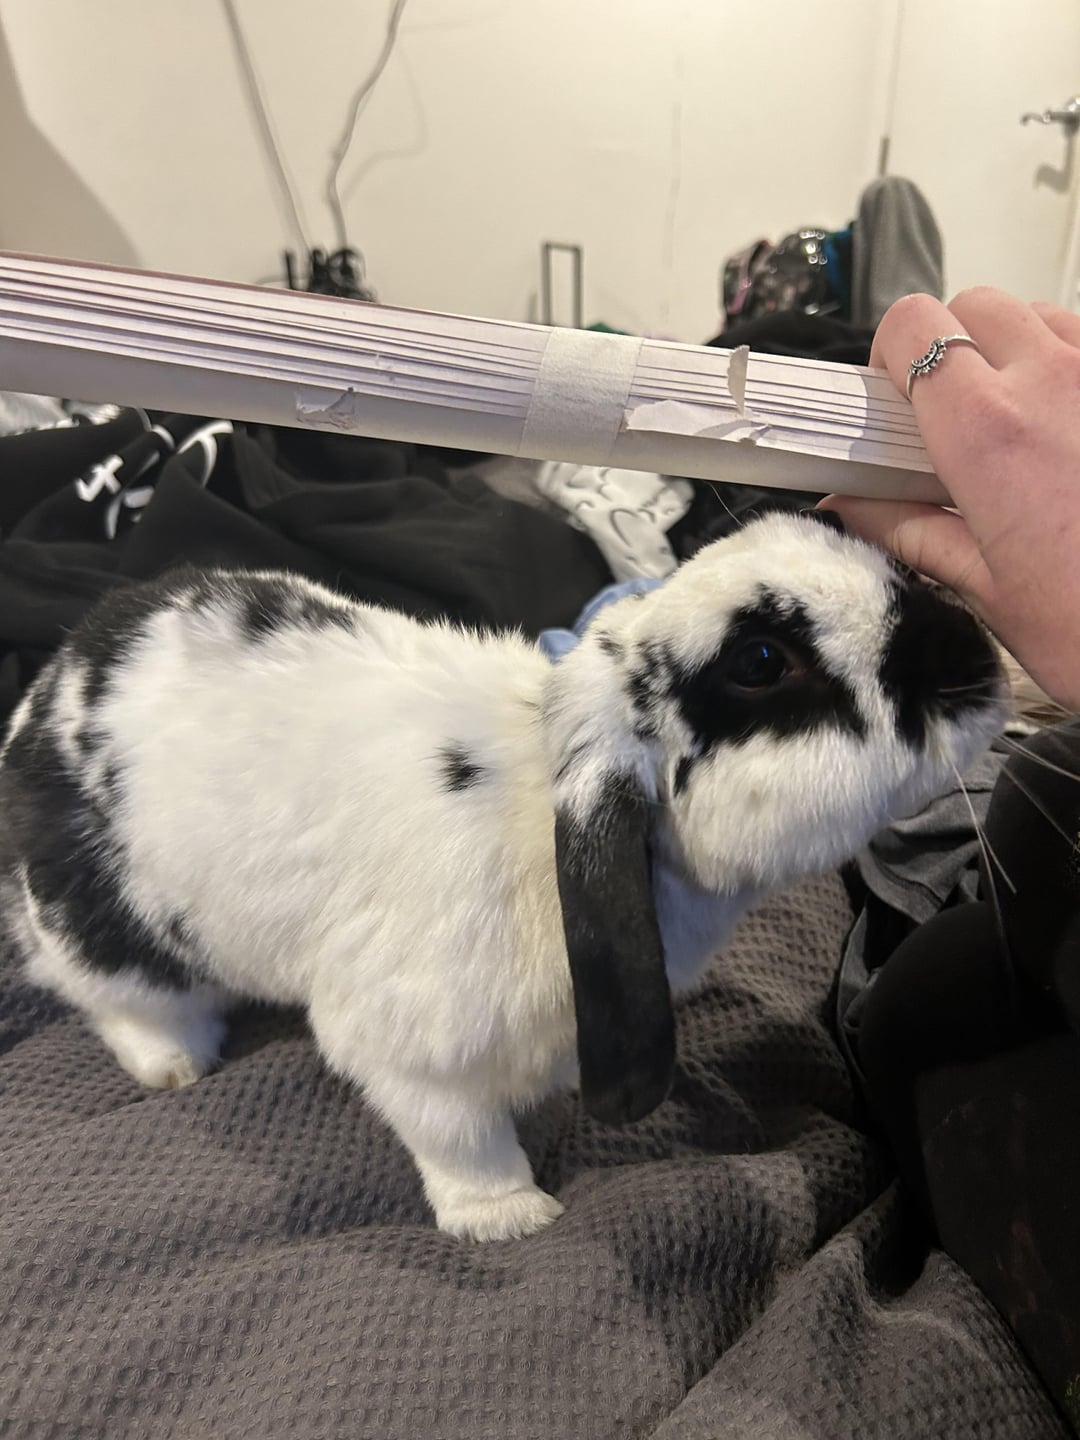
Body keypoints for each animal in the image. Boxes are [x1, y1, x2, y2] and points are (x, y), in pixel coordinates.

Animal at [0, 509, 1010, 1242]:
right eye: (762, 661)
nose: (982, 658)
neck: (541, 795)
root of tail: (39, 698)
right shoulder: (409, 1055)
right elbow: (460, 1138)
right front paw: (510, 1219)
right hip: (109, 935)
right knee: (102, 993)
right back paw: (175, 1065)